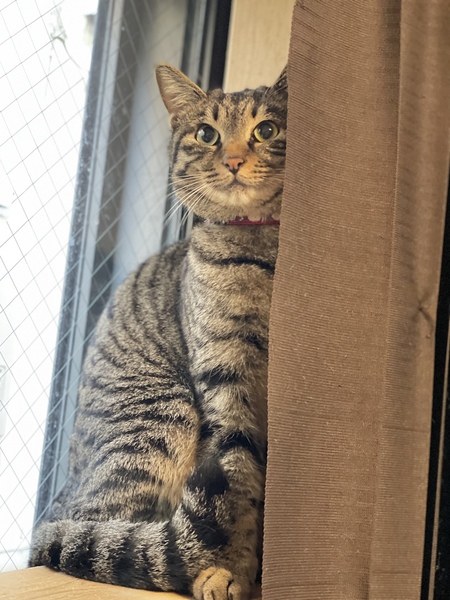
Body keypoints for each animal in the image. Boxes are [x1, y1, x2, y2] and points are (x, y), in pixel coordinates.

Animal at [29, 63, 287, 600]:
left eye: (267, 129)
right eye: (207, 134)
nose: (234, 159)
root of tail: (54, 506)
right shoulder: (224, 379)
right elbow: (237, 481)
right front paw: (229, 570)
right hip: (161, 418)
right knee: (105, 532)